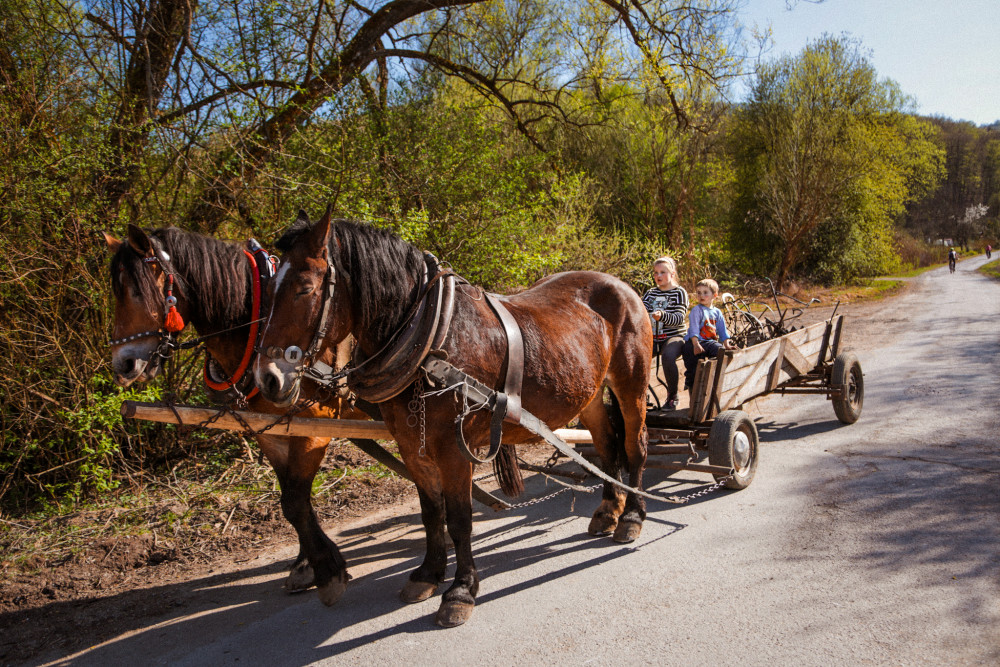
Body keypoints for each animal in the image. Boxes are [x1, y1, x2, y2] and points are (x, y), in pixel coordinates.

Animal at [103, 224, 368, 604]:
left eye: (137, 290)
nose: (122, 364)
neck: (254, 328)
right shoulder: (270, 432)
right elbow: (292, 500)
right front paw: (308, 564)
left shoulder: (313, 426)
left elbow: (296, 501)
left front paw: (327, 570)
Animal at [254, 211, 652, 628]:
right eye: (270, 287)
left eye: (304, 289)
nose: (267, 378)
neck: (432, 341)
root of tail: (622, 286)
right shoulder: (413, 446)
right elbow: (432, 513)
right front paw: (428, 575)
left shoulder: (454, 450)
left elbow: (459, 520)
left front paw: (460, 591)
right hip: (588, 394)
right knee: (607, 445)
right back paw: (608, 511)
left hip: (631, 384)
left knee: (634, 446)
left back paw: (632, 517)